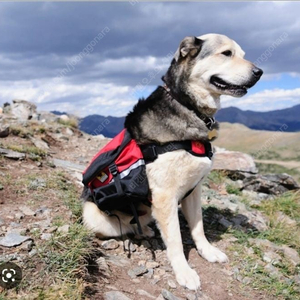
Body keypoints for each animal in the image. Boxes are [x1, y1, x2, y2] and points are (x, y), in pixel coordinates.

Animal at [83, 33, 264, 290]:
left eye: (243, 54)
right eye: (226, 53)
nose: (260, 72)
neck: (187, 105)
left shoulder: (194, 190)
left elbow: (198, 227)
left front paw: (208, 252)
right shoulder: (165, 196)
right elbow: (176, 240)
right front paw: (184, 272)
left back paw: (146, 230)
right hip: (93, 216)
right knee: (120, 228)